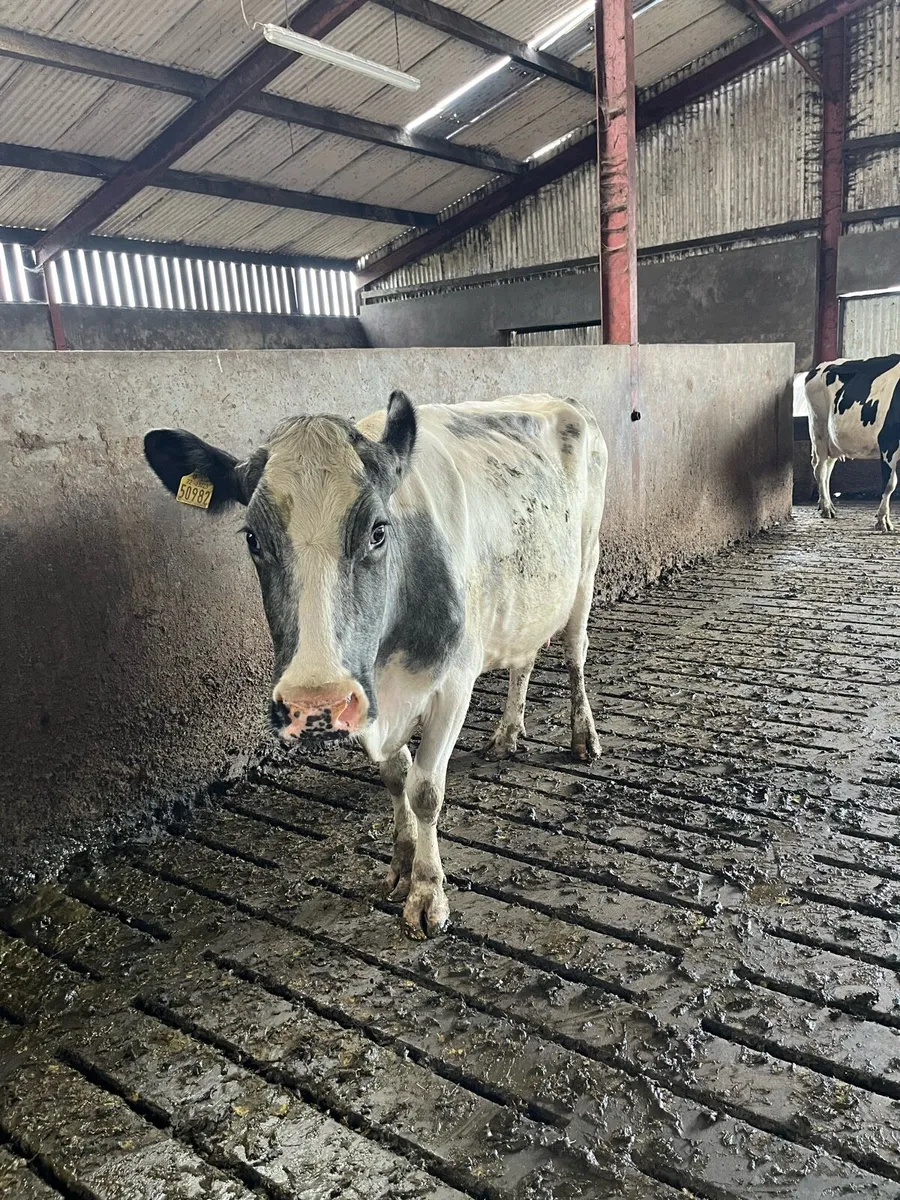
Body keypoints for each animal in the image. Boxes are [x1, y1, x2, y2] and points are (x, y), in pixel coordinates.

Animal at [144, 392, 608, 937]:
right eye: (252, 538)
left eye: (378, 531)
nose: (314, 704)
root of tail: (560, 399)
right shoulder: (369, 698)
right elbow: (395, 776)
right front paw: (403, 863)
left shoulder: (453, 683)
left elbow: (425, 788)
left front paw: (428, 894)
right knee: (524, 656)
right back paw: (507, 733)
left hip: (586, 565)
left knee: (575, 652)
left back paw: (582, 736)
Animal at [805, 353, 900, 531]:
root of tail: (821, 366)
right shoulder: (888, 443)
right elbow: (890, 484)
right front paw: (882, 520)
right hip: (818, 429)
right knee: (820, 469)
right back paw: (826, 508)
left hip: (833, 441)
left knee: (828, 469)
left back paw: (826, 504)